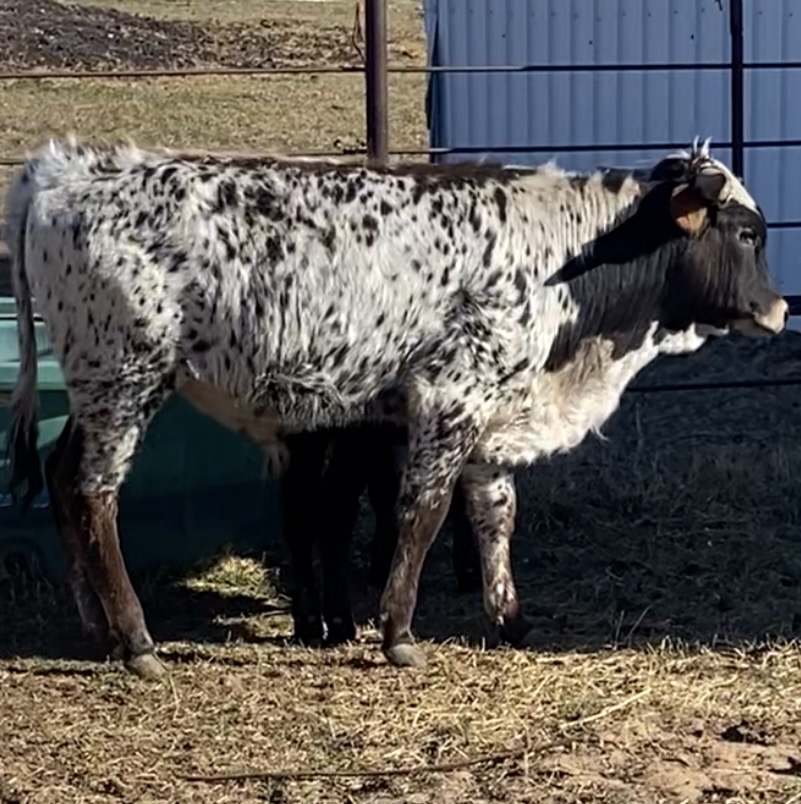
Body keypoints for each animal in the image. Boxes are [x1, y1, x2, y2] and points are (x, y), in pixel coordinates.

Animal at [4, 136, 786, 679]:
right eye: (748, 233)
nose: (777, 310)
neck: (566, 261)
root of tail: (64, 169)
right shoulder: (450, 399)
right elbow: (422, 515)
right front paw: (398, 632)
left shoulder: (492, 415)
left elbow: (494, 516)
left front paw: (509, 618)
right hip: (125, 376)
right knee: (93, 495)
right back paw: (137, 639)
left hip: (96, 387)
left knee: (60, 477)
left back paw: (97, 629)